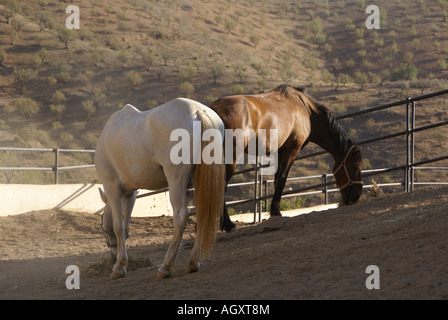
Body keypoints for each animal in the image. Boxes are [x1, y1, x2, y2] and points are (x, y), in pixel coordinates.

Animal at [96, 97, 226, 278]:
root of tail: (198, 112)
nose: (112, 257)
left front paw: (119, 267)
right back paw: (192, 263)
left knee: (180, 216)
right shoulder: (131, 193)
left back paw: (166, 266)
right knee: (203, 214)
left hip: (176, 181)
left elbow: (118, 225)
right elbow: (126, 223)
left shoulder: (113, 188)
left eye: (102, 228)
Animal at [208, 84, 362, 231]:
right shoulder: (292, 150)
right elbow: (282, 178)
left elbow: (277, 180)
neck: (306, 110)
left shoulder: (279, 152)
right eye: (355, 166)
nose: (356, 196)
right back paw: (228, 224)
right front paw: (276, 211)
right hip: (231, 157)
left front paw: (273, 210)